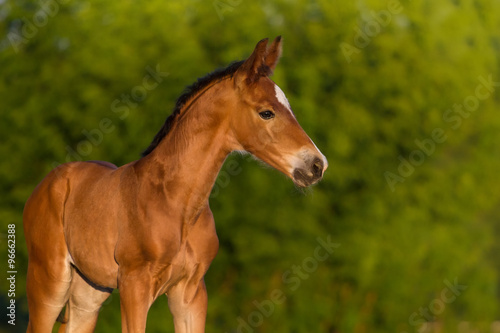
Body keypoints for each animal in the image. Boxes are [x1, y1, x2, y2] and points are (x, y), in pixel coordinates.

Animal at [23, 37, 328, 332]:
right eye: (266, 112)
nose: (317, 165)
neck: (176, 201)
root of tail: (48, 183)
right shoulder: (134, 285)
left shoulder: (191, 292)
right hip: (49, 282)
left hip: (88, 292)